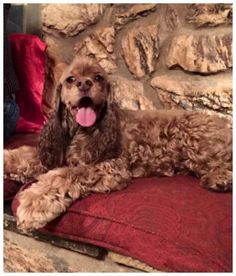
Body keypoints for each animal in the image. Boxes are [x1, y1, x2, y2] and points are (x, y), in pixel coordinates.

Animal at [4, 56, 232, 231]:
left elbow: (64, 175)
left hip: (195, 137)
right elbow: (24, 155)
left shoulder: (111, 167)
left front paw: (35, 203)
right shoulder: (51, 154)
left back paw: (220, 180)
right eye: (71, 79)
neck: (81, 130)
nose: (84, 84)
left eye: (98, 78)